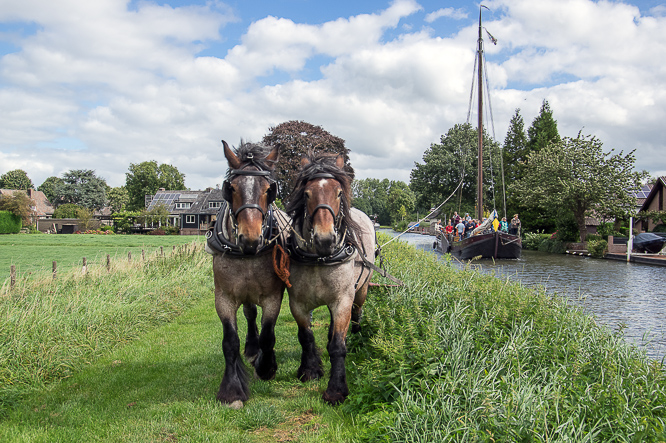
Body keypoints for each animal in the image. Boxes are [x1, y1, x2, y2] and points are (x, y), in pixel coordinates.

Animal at [206, 140, 290, 408]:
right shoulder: (223, 298)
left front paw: (267, 368)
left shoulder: (273, 297)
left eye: (268, 190)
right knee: (250, 314)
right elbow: (230, 342)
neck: (248, 255)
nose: (250, 239)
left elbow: (268, 335)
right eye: (231, 188)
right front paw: (232, 390)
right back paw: (252, 350)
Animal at [284, 153, 374, 406]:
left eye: (339, 193)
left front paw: (336, 390)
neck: (320, 258)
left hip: (361, 290)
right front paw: (310, 370)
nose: (325, 239)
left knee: (356, 313)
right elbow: (305, 336)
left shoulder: (342, 300)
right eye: (306, 193)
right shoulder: (297, 303)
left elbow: (337, 346)